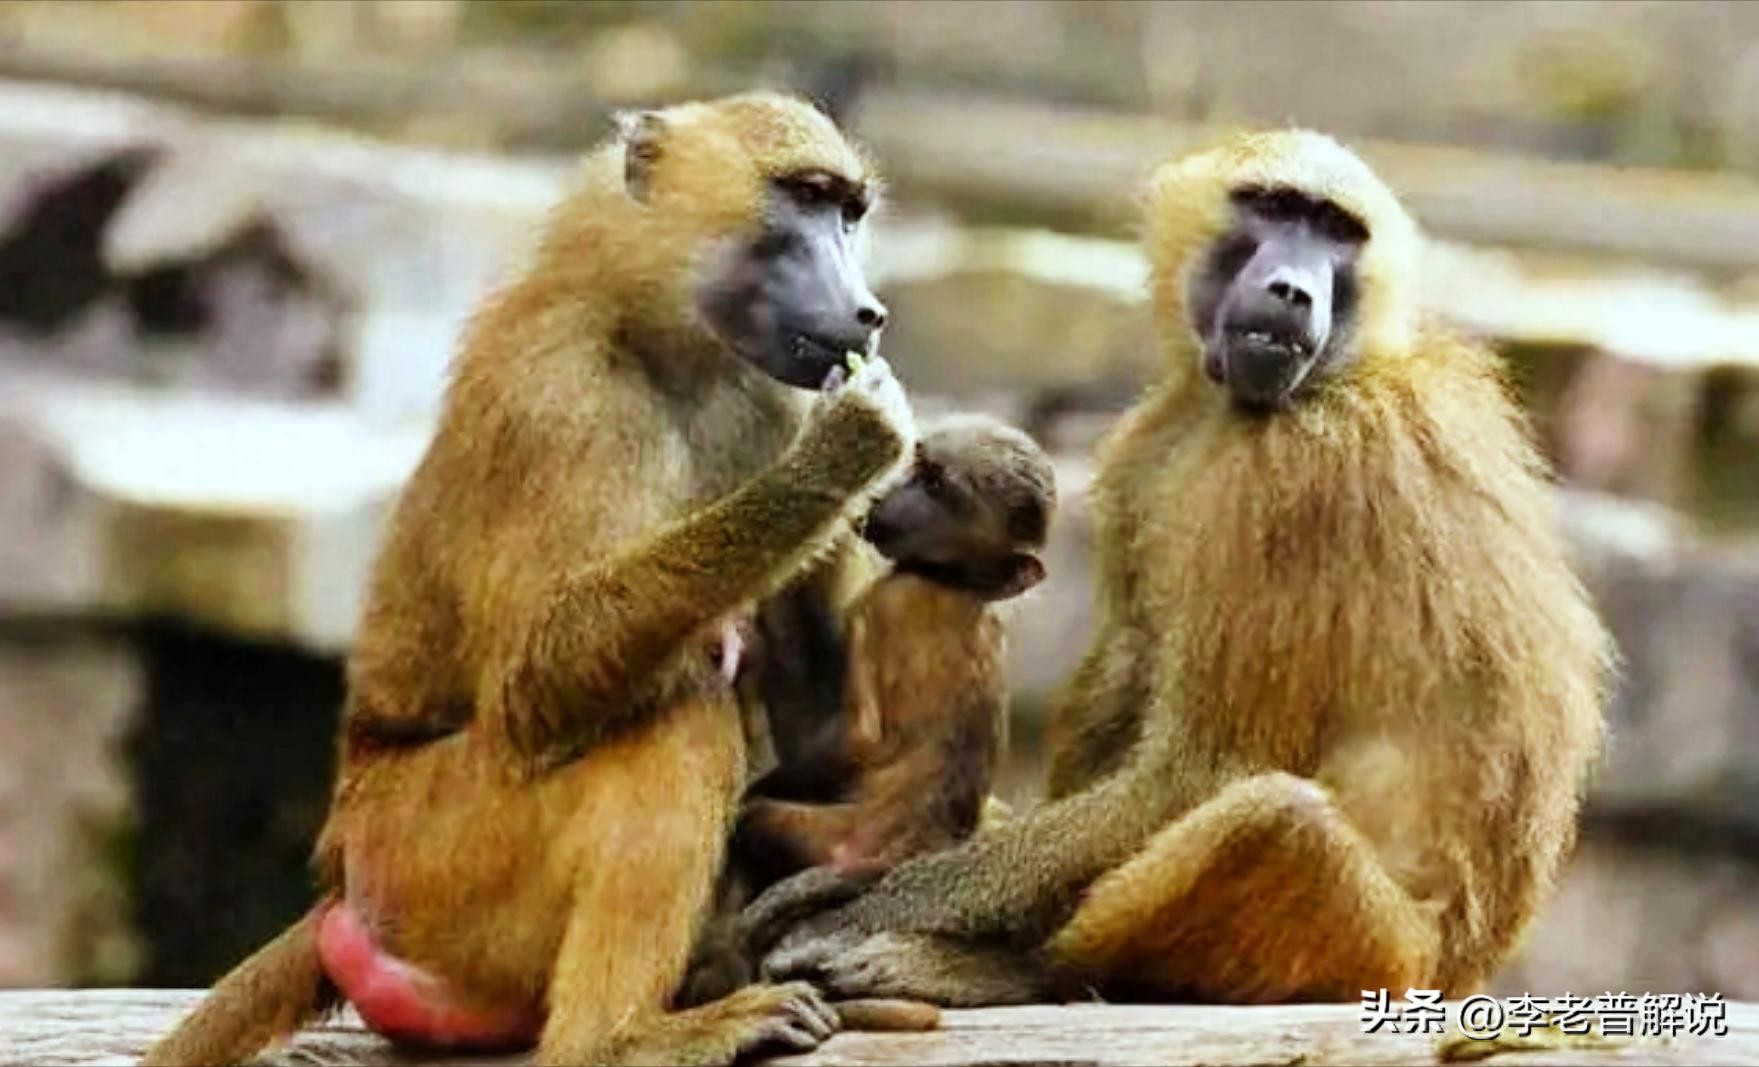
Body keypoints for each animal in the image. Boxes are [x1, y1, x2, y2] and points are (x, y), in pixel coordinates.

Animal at [141, 92, 920, 1067]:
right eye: (802, 199)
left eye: (848, 212)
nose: (868, 312)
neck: (663, 335)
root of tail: (345, 866)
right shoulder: (559, 397)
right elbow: (536, 683)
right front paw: (849, 447)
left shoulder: (772, 394)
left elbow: (824, 725)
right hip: (432, 860)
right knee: (674, 718)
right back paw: (623, 1037)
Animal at [754, 129, 1612, 1009]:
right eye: (1273, 208)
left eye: (1335, 232)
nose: (1291, 289)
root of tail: (1462, 969)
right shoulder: (1153, 439)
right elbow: (1135, 667)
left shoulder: (1299, 478)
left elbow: (1199, 770)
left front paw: (851, 909)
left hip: (1380, 955)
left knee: (1277, 822)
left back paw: (1020, 969)